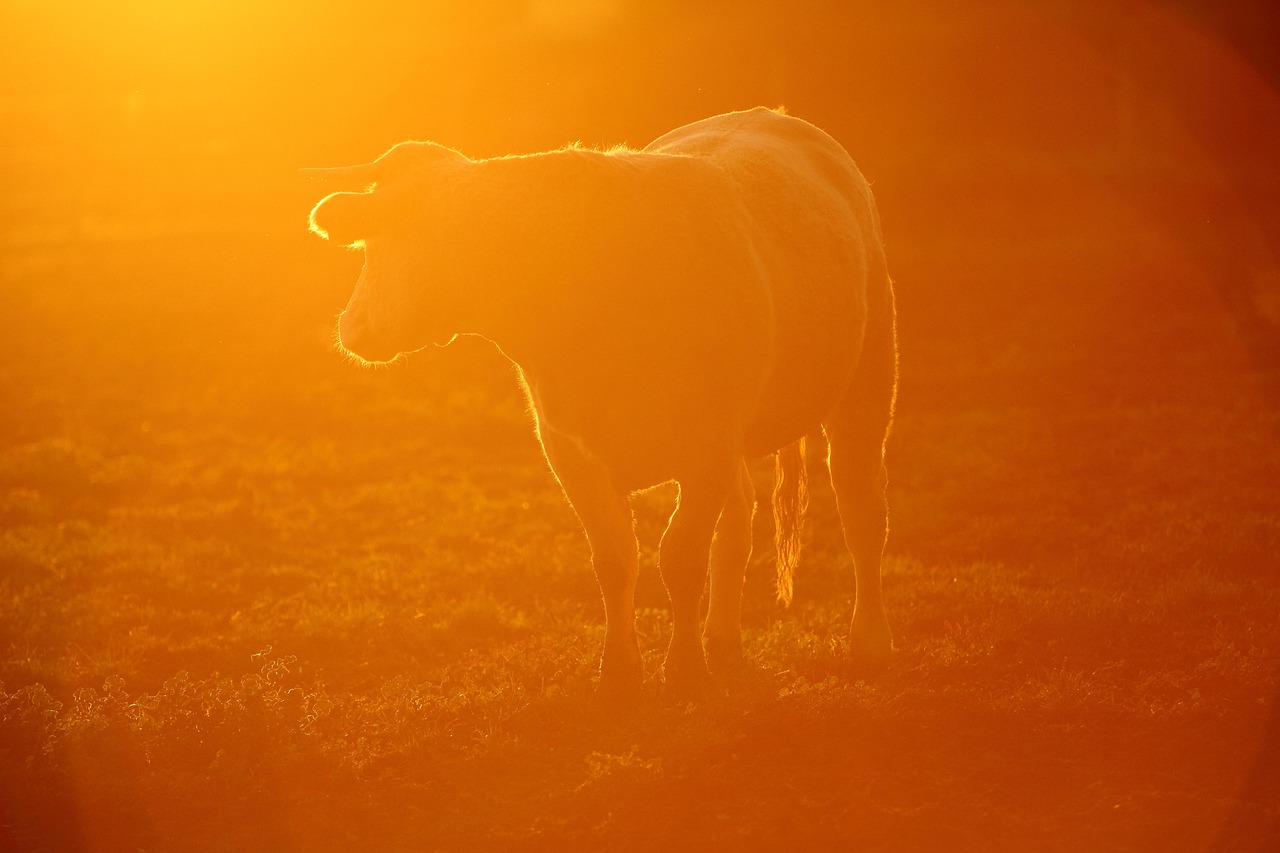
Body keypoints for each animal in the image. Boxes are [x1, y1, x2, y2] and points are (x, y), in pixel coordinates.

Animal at [305, 107, 898, 694]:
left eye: (378, 243)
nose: (350, 328)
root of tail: (771, 116)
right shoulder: (571, 447)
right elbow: (616, 559)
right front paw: (620, 670)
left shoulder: (706, 448)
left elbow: (680, 559)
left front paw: (683, 668)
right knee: (738, 530)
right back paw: (725, 642)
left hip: (868, 377)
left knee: (861, 512)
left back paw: (869, 645)